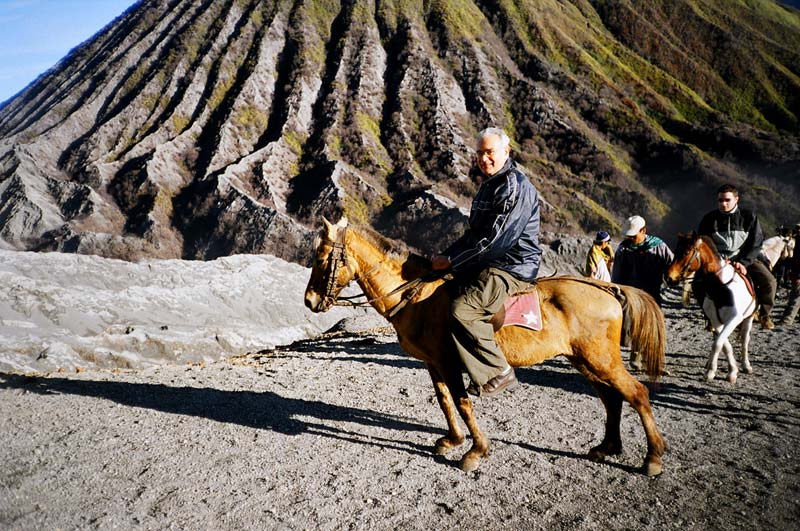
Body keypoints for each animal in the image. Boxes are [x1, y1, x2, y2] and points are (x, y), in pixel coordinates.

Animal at [304, 218, 664, 476]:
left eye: (322, 258)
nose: (309, 301)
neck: (417, 297)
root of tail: (608, 288)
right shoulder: (434, 363)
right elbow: (444, 401)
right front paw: (452, 440)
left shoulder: (449, 363)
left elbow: (462, 403)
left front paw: (475, 451)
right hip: (585, 360)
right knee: (612, 399)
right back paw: (606, 447)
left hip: (600, 359)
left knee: (636, 394)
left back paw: (653, 459)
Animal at [668, 235, 756, 384]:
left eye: (686, 252)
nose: (669, 277)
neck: (719, 287)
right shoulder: (716, 321)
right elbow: (723, 345)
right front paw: (719, 370)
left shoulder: (734, 319)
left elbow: (719, 343)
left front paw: (727, 372)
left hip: (748, 318)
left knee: (745, 340)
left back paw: (746, 365)